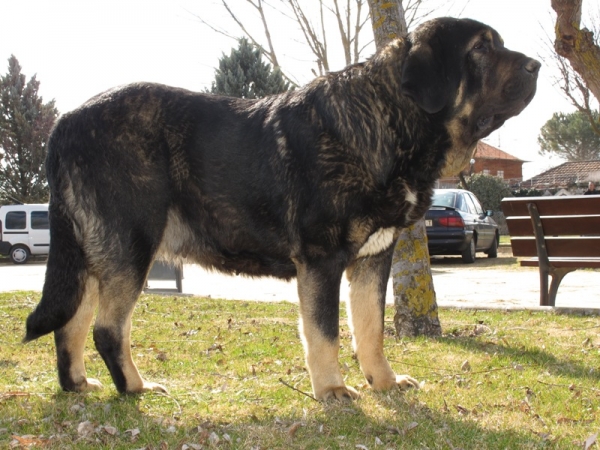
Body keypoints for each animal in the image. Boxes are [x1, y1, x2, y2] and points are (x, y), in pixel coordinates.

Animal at [24, 17, 540, 400]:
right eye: (482, 49)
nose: (536, 64)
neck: (387, 123)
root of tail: (65, 123)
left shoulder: (374, 258)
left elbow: (370, 328)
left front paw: (385, 382)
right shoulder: (322, 259)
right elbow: (325, 333)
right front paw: (332, 390)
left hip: (94, 255)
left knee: (70, 322)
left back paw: (76, 385)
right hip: (131, 247)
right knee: (108, 329)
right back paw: (135, 387)